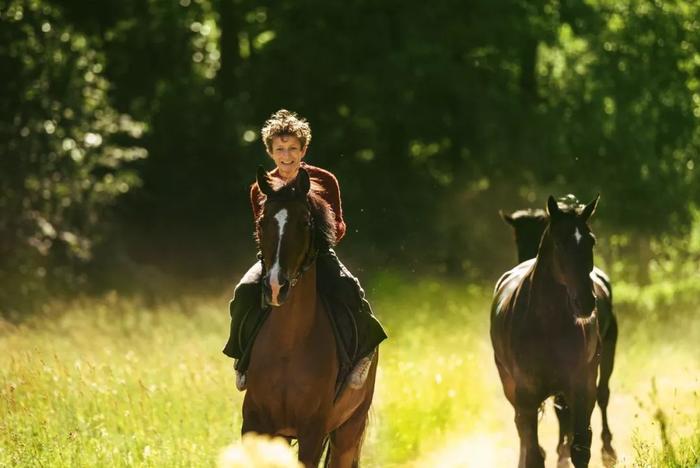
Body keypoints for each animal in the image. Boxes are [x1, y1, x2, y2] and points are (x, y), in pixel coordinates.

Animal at [243, 168, 380, 468]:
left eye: (305, 222)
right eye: (262, 221)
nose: (275, 286)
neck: (288, 345)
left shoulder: (313, 433)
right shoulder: (255, 424)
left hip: (349, 430)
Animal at [490, 197, 604, 468]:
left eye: (591, 240)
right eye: (560, 242)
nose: (585, 302)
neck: (548, 326)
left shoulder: (582, 388)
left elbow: (580, 449)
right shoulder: (526, 396)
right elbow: (533, 453)